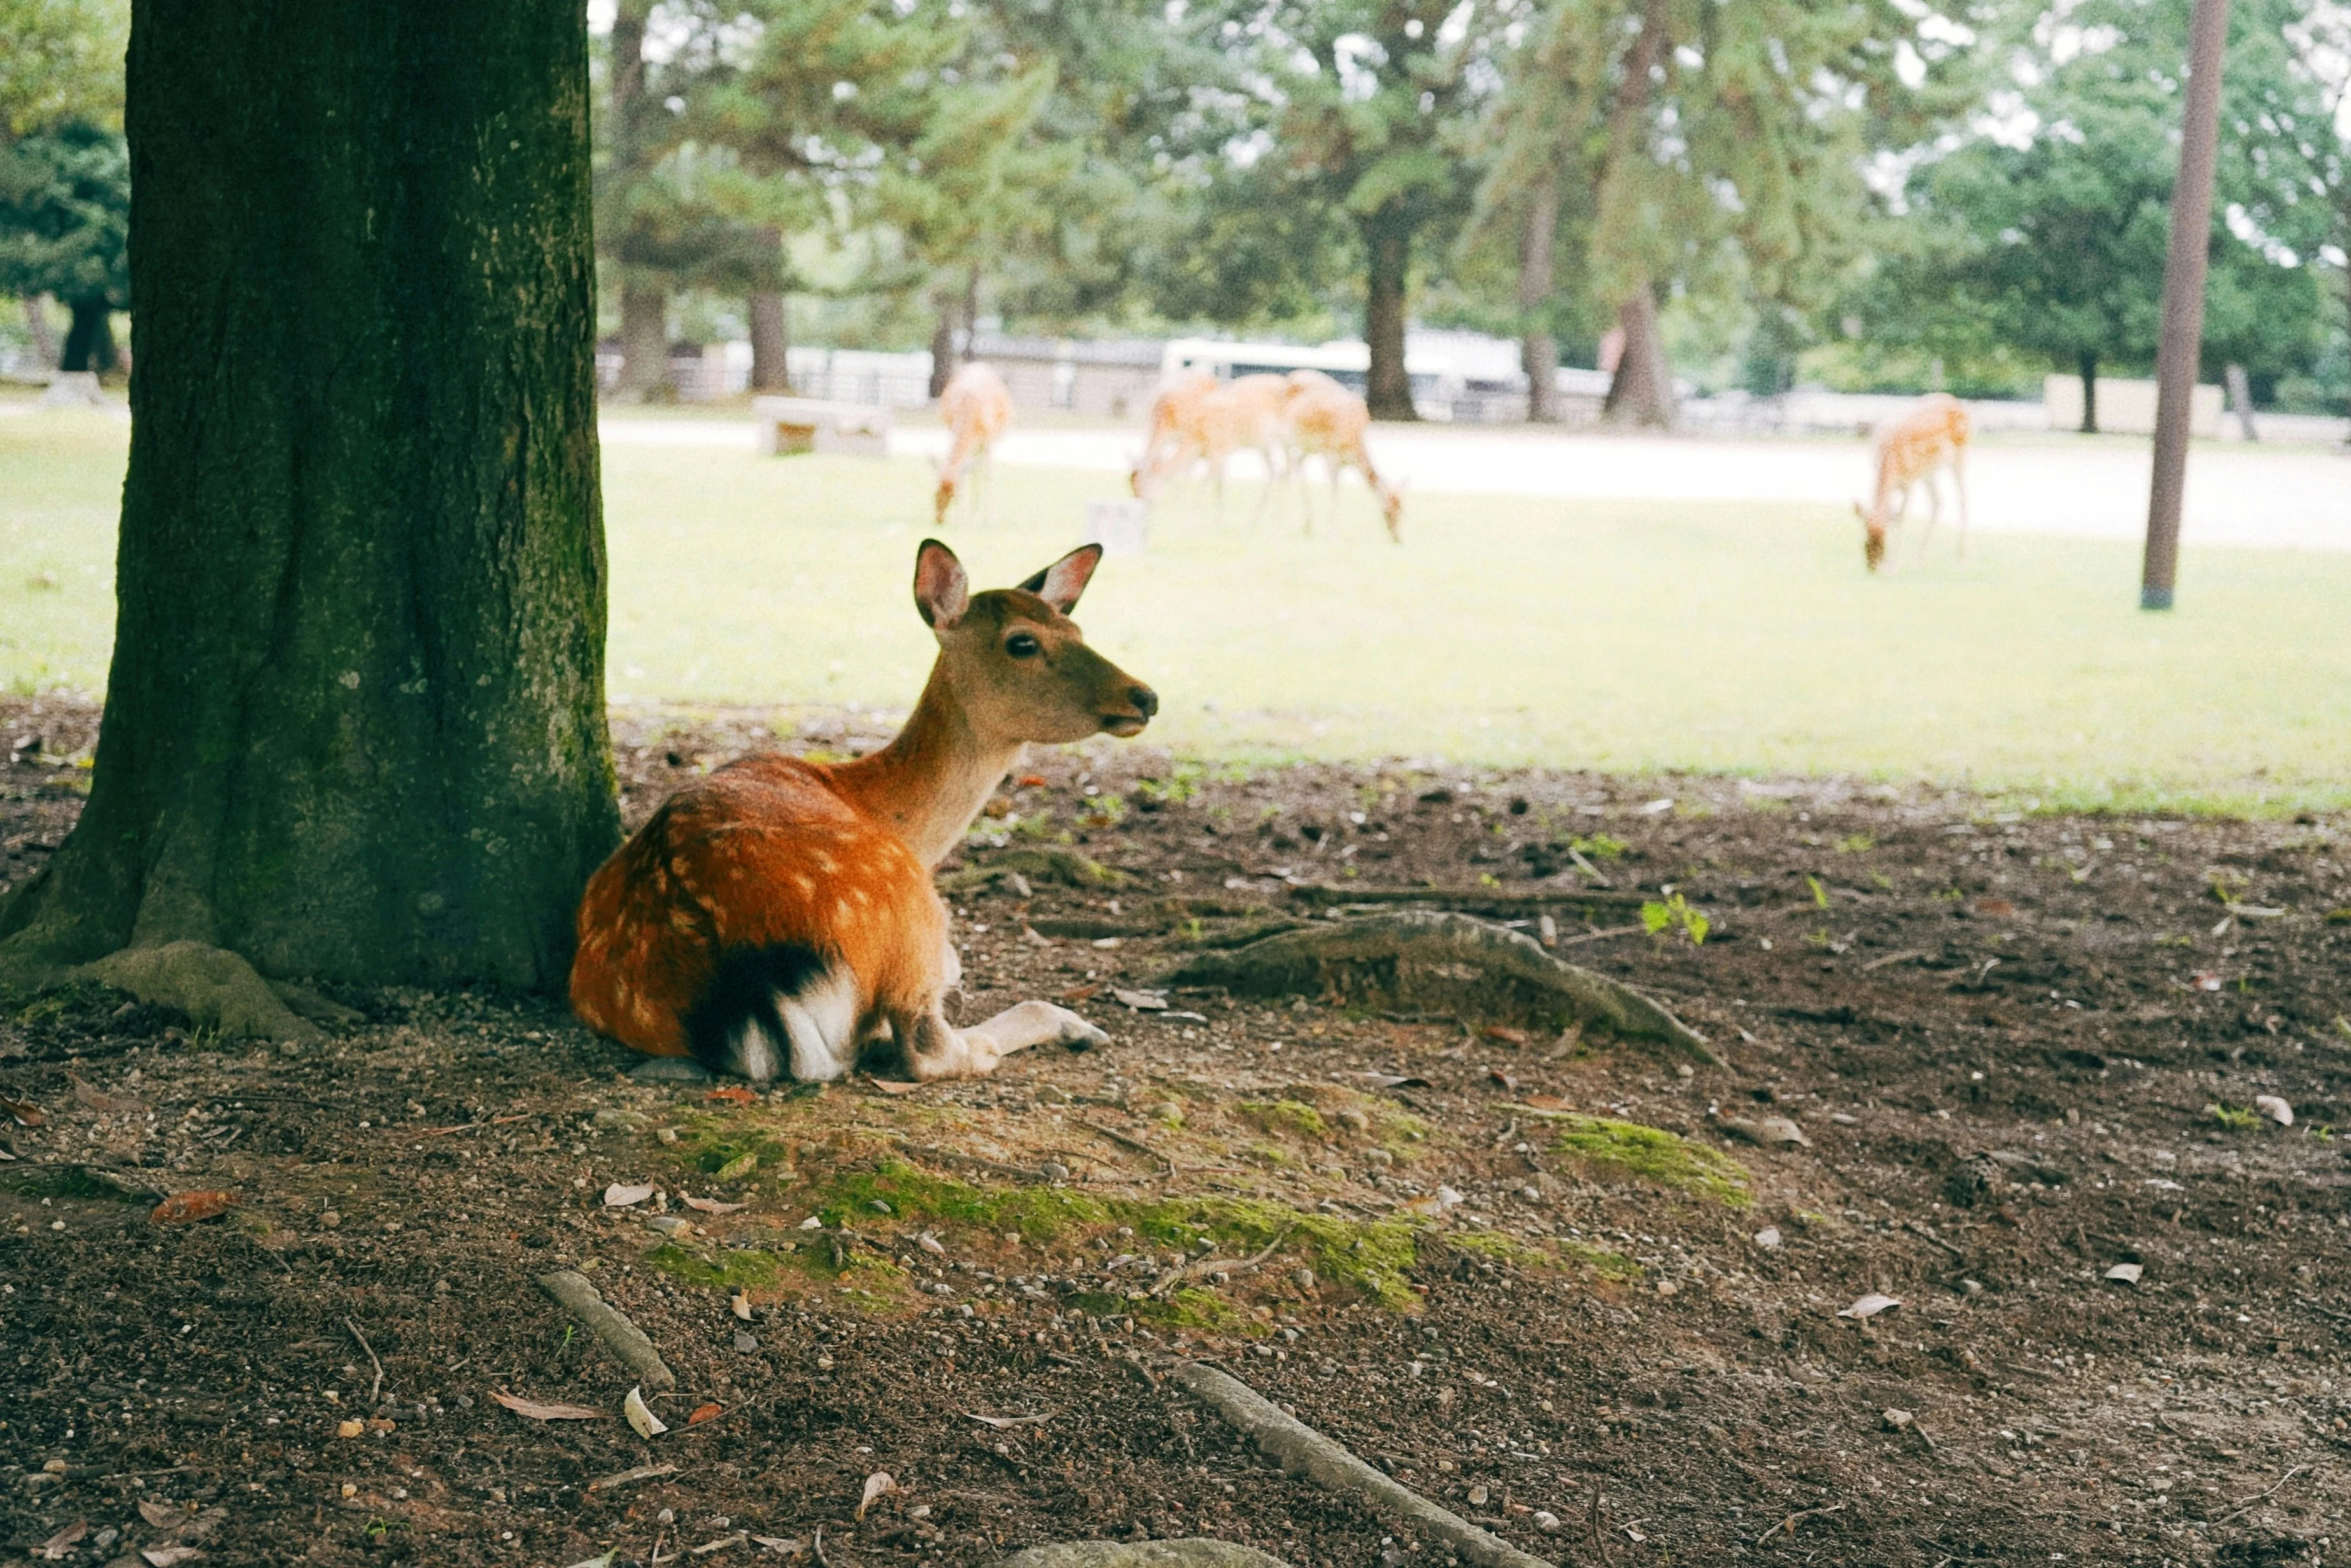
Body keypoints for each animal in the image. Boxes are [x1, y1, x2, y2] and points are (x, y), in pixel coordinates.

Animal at [568, 535, 1156, 1081]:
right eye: (1022, 642)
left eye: (1078, 631)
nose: (1145, 696)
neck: (866, 797)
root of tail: (741, 986)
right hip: (910, 913)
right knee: (930, 1048)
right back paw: (1071, 1025)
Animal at [931, 362, 1015, 526]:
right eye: (934, 492)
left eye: (953, 496)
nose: (939, 519)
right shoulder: (954, 430)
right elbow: (967, 474)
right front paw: (962, 519)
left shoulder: (989, 440)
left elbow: (988, 475)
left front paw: (991, 520)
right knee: (975, 471)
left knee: (980, 471)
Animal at [1278, 371, 1401, 543]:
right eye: (1388, 511)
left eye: (1403, 510)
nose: (1398, 539)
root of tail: (1291, 375)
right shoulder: (1332, 455)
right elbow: (1334, 492)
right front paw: (1332, 535)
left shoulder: (1343, 462)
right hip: (1287, 434)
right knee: (1286, 469)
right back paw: (1283, 523)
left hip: (1308, 445)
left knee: (1294, 466)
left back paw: (1306, 524)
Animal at [1853, 392, 1965, 571]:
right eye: (1866, 540)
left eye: (1882, 541)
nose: (1872, 566)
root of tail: (1956, 402)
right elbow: (1892, 514)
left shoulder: (1910, 480)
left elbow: (1900, 518)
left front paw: (1893, 565)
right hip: (1929, 470)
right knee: (1938, 500)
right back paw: (1920, 559)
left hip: (1960, 454)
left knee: (1962, 500)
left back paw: (1961, 559)